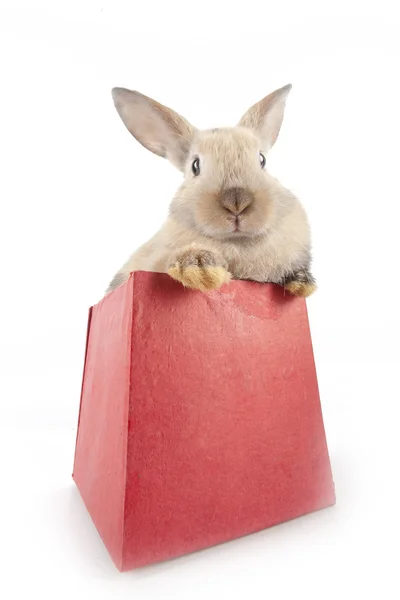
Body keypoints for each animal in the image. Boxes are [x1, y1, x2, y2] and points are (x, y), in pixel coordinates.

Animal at [106, 85, 316, 298]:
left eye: (262, 160)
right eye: (195, 165)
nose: (237, 202)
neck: (236, 243)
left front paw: (301, 283)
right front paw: (201, 269)